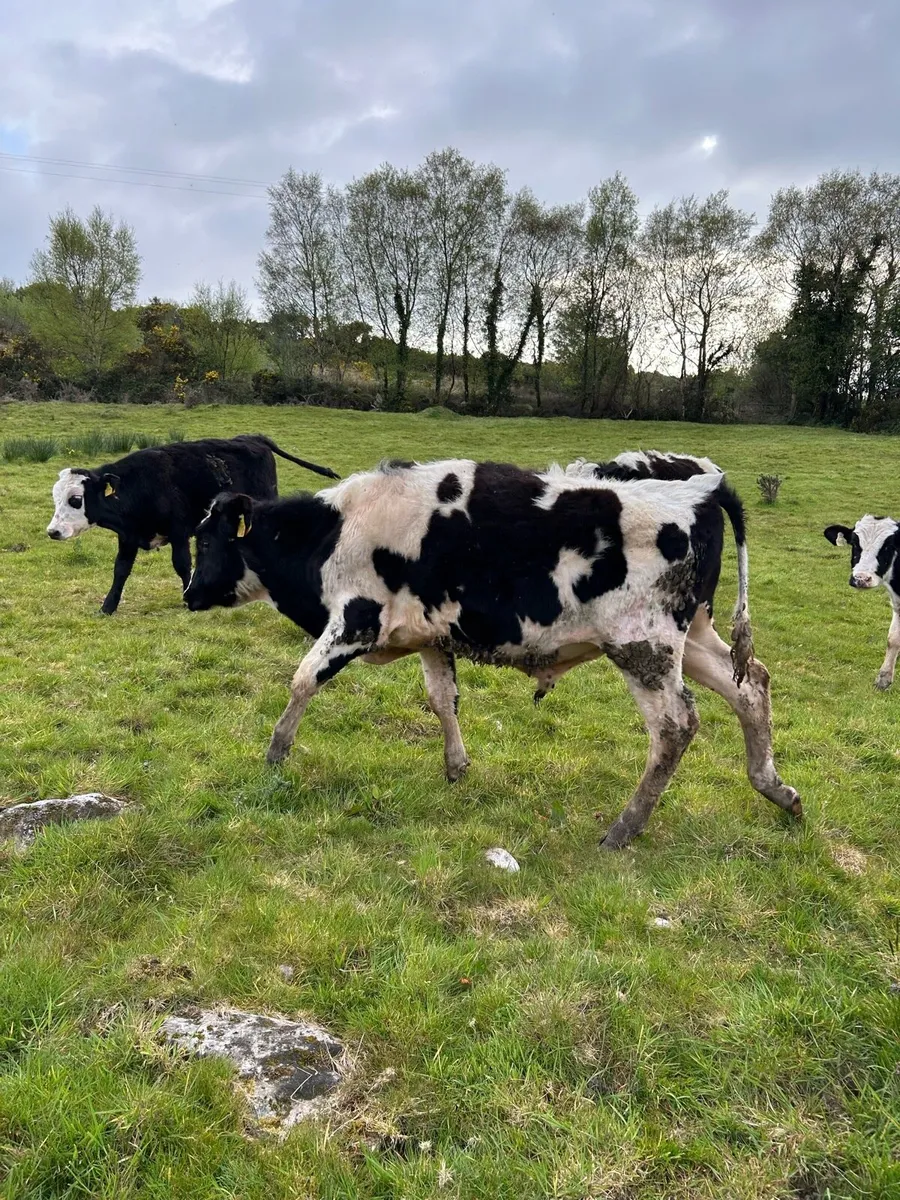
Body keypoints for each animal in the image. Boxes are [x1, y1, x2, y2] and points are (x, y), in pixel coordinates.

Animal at [47, 434, 339, 615]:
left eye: (75, 500)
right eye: (55, 497)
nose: (53, 531)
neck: (141, 484)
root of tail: (253, 438)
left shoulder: (178, 532)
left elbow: (182, 564)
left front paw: (189, 597)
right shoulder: (128, 537)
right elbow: (120, 570)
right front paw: (107, 607)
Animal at [183, 456, 800, 849]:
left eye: (207, 541)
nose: (188, 594)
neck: (334, 529)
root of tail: (702, 487)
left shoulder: (355, 619)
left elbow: (303, 679)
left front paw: (276, 751)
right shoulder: (431, 636)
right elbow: (442, 700)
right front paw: (456, 766)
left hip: (642, 645)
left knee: (676, 725)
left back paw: (626, 827)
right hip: (691, 636)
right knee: (752, 684)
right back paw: (775, 789)